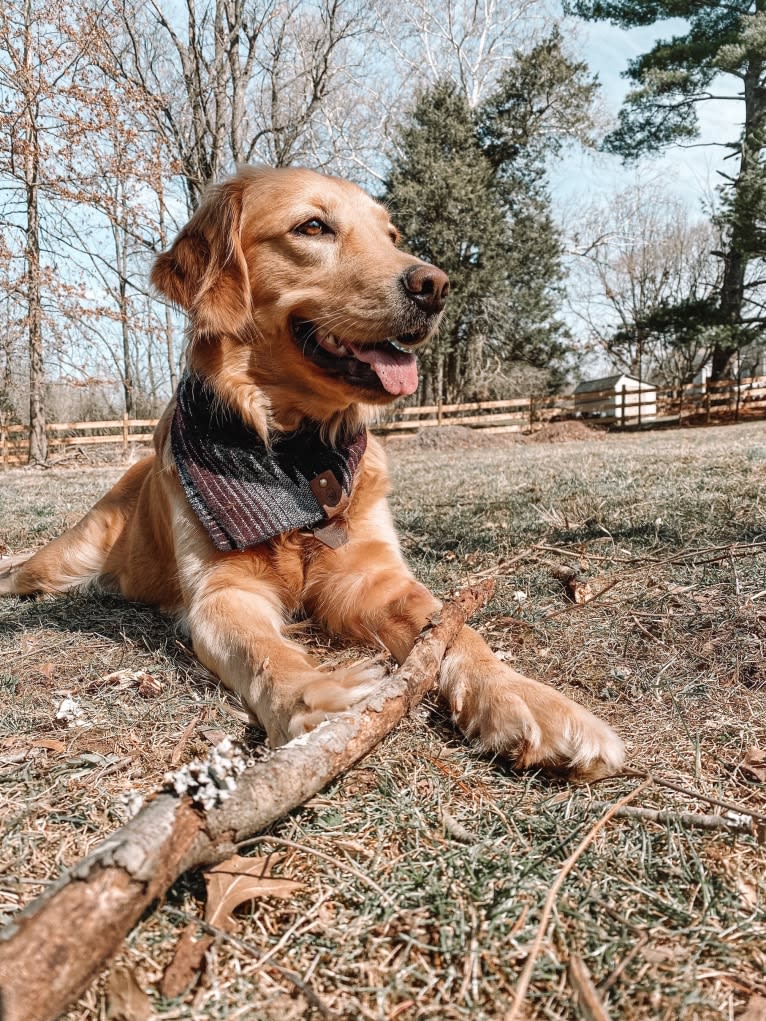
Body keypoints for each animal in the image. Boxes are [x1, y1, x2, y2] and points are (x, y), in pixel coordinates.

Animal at [0, 165, 625, 780]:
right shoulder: (223, 594)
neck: (298, 454)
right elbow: (265, 653)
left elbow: (457, 632)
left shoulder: (371, 580)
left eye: (391, 236)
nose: (436, 286)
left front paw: (528, 699)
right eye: (313, 227)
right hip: (63, 559)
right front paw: (321, 698)